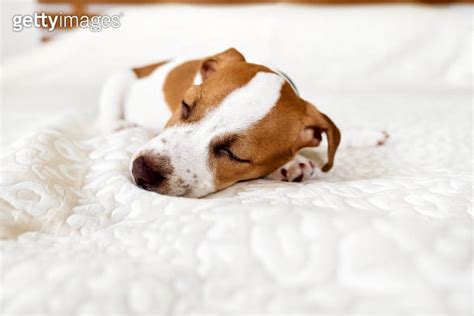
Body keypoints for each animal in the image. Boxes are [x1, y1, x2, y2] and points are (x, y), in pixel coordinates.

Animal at [98, 47, 386, 196]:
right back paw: (120, 126)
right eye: (186, 106)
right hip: (119, 80)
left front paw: (363, 134)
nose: (141, 171)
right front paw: (291, 163)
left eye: (233, 154)